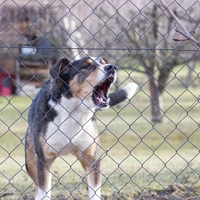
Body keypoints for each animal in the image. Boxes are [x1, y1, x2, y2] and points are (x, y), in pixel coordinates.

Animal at [24, 56, 138, 200]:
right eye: (87, 66)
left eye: (103, 63)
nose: (112, 67)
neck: (73, 112)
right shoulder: (43, 161)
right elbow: (44, 190)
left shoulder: (92, 159)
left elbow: (95, 191)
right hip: (30, 161)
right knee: (37, 185)